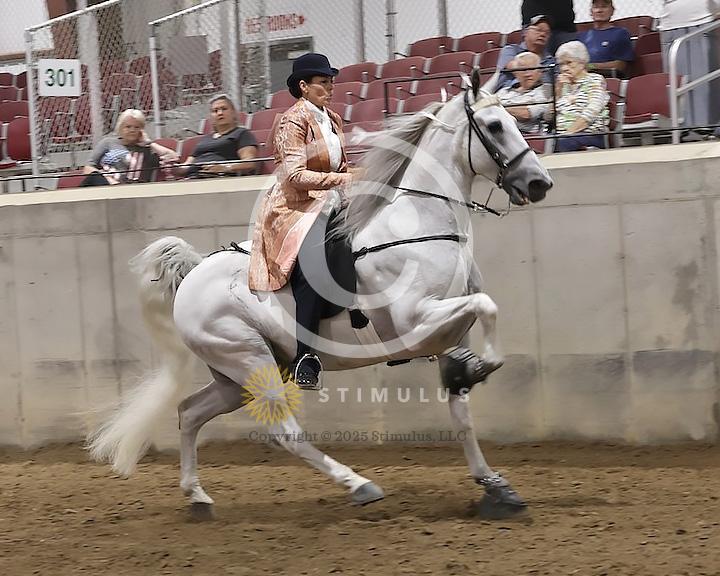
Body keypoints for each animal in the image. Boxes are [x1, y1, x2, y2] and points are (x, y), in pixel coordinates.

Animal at [87, 70, 553, 520]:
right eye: (495, 126)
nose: (539, 183)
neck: (418, 224)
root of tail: (193, 275)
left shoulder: (446, 335)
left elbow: (462, 410)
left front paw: (496, 487)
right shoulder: (416, 321)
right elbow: (488, 308)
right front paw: (485, 366)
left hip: (235, 375)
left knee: (189, 413)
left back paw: (198, 498)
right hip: (249, 361)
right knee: (284, 433)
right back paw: (360, 486)